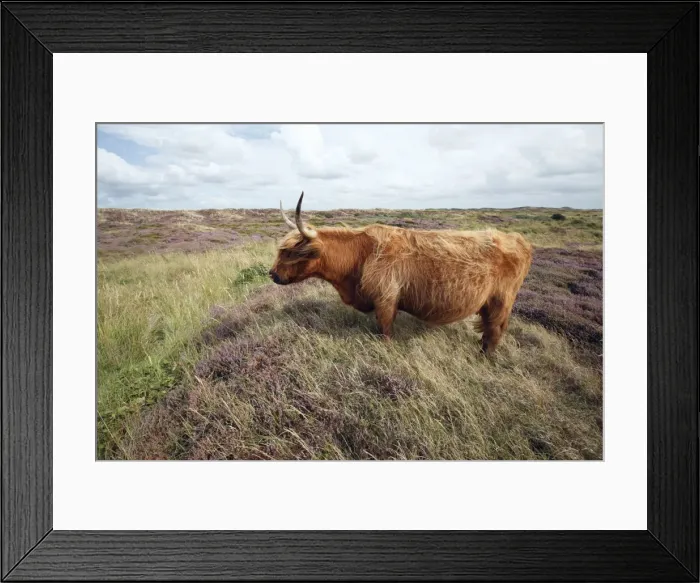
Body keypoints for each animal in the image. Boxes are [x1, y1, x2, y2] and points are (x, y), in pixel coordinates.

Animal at [269, 192, 533, 354]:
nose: (272, 274)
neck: (360, 257)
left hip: (500, 301)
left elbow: (385, 331)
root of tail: (519, 239)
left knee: (494, 332)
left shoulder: (386, 300)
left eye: (290, 253)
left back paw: (483, 356)